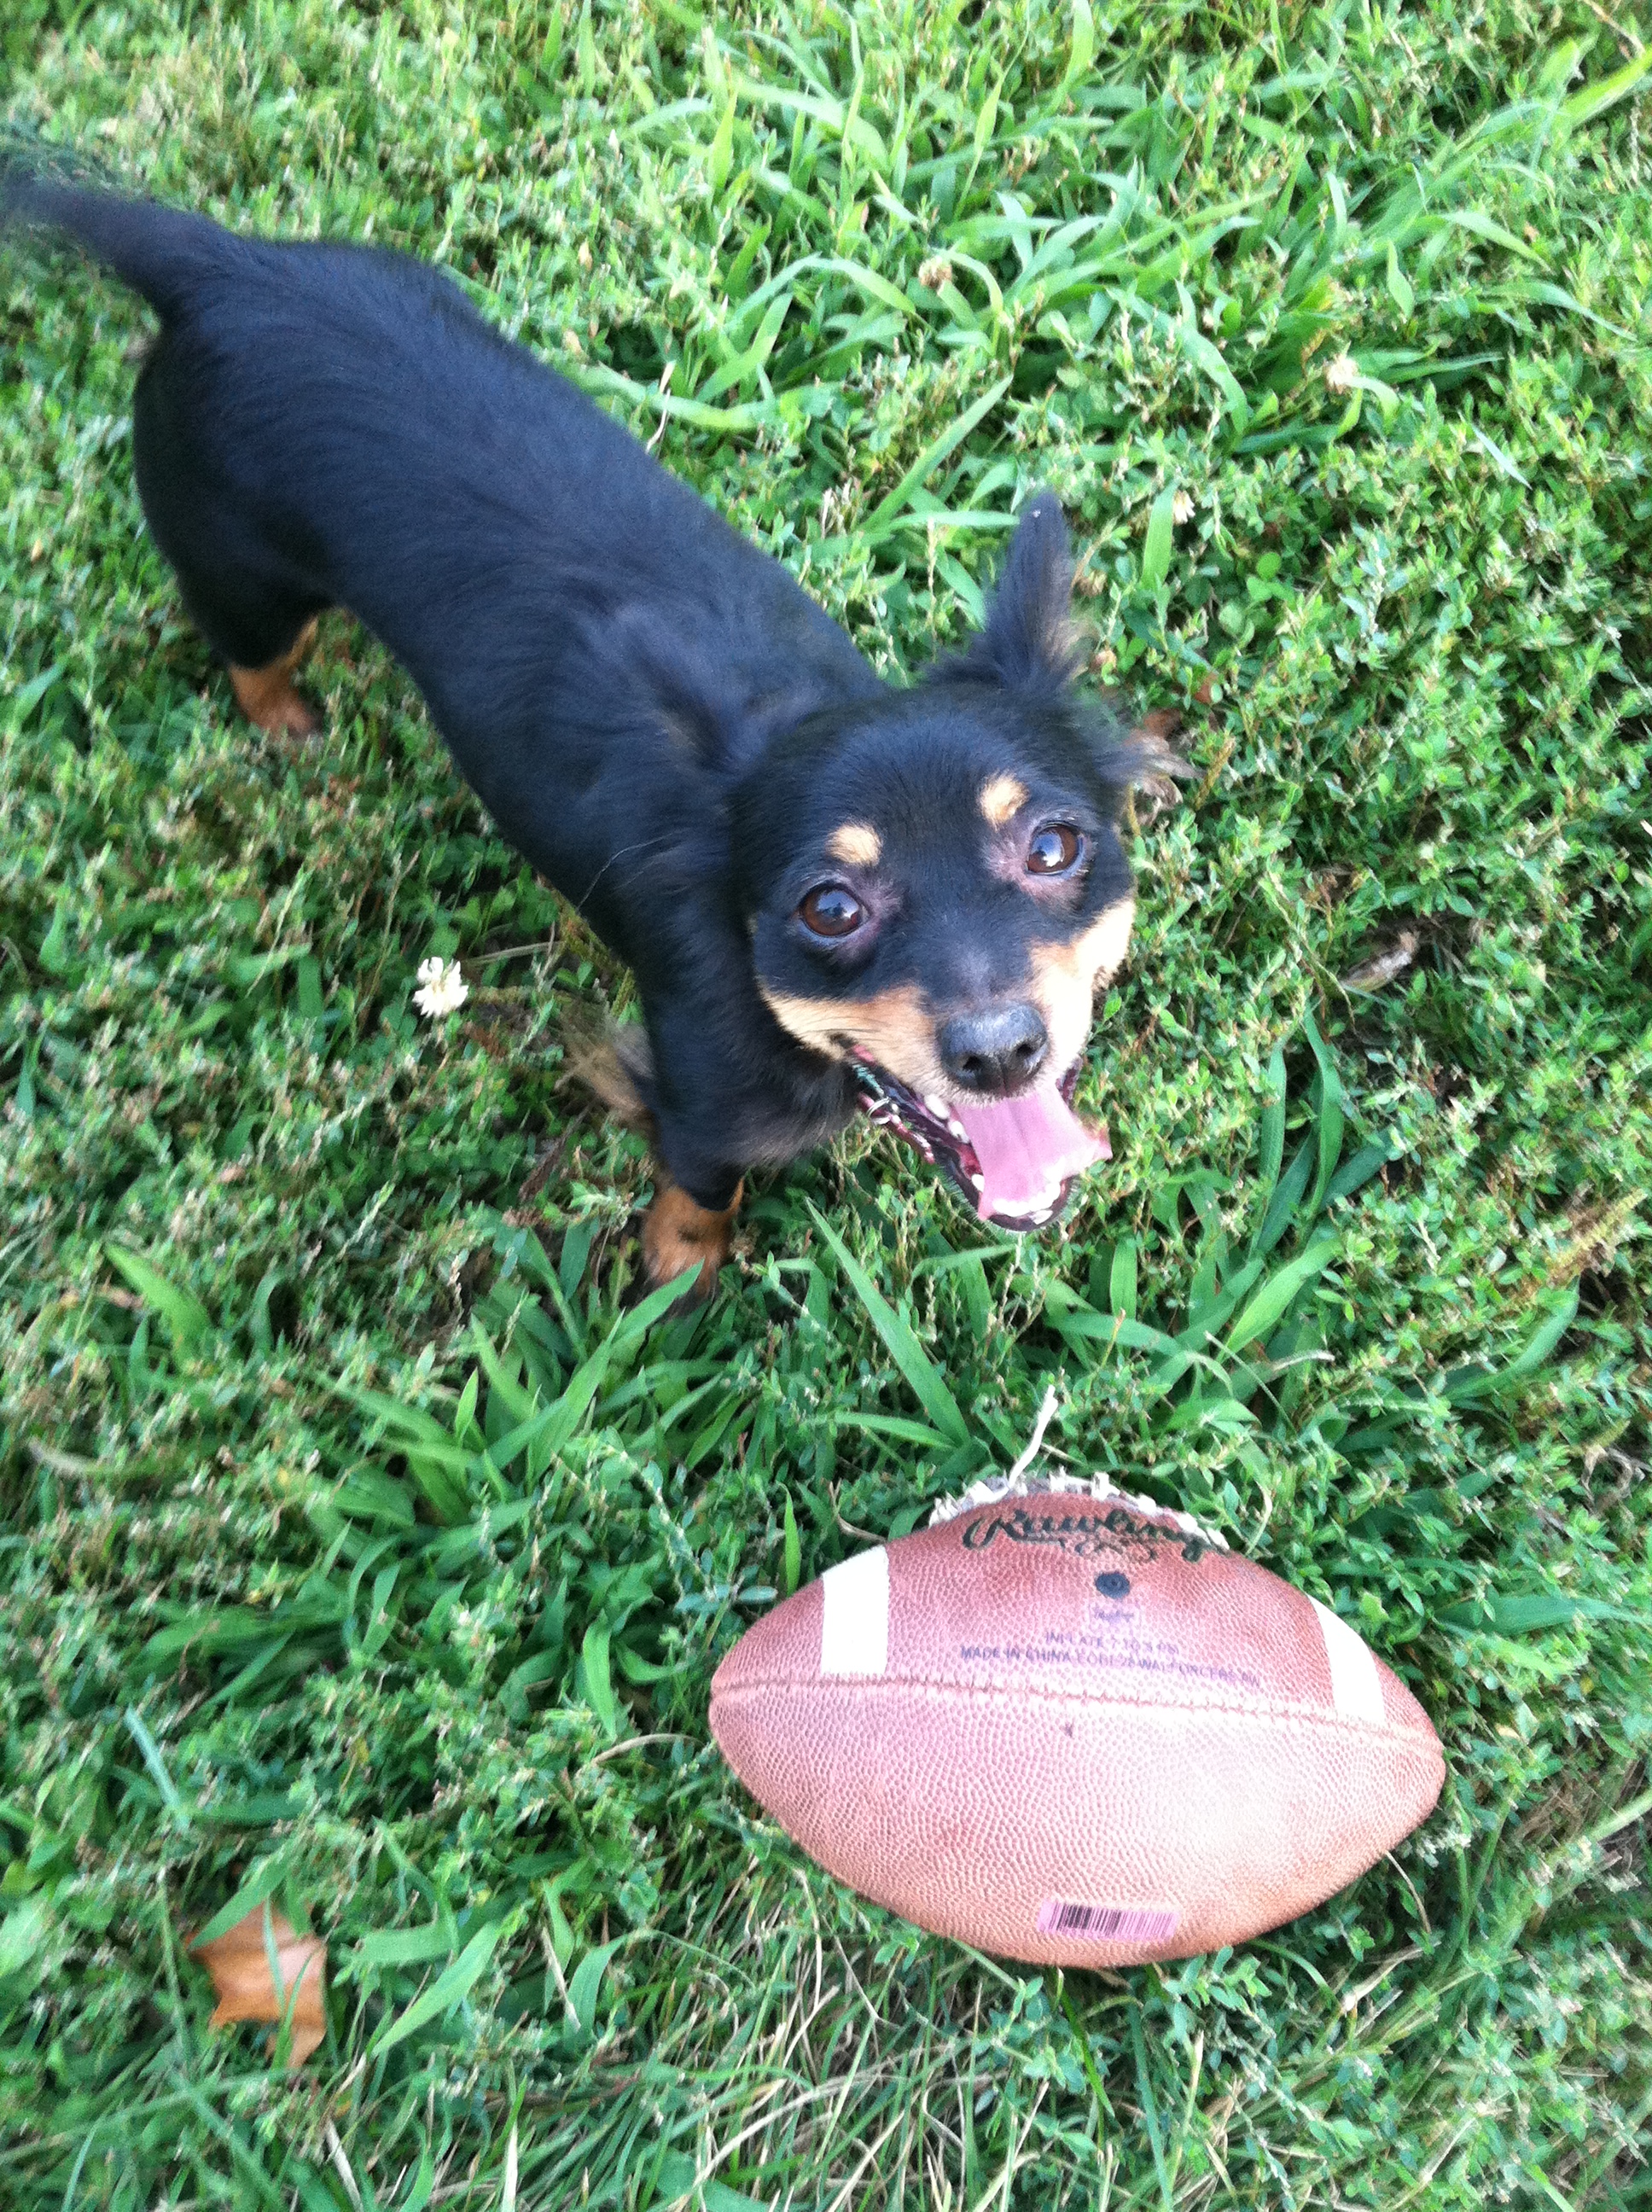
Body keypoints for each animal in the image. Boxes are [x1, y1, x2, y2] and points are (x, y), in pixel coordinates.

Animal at [5, 179, 1176, 1300]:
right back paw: (289, 727)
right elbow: (701, 1188)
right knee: (250, 659)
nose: (1002, 1052)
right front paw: (678, 1275)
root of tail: (221, 262)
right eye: (828, 909)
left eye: (1055, 846)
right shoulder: (701, 1103)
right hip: (242, 582)